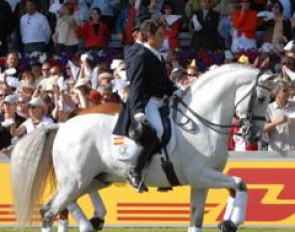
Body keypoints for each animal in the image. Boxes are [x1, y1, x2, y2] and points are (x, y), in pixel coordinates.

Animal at [10, 64, 276, 232]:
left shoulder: (201, 181)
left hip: (95, 178)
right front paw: (232, 222)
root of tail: (62, 124)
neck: (201, 119)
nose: (253, 135)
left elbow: (204, 214)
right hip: (75, 180)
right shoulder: (201, 174)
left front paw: (227, 222)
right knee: (50, 210)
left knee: (66, 205)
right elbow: (241, 183)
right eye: (262, 99)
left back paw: (93, 220)